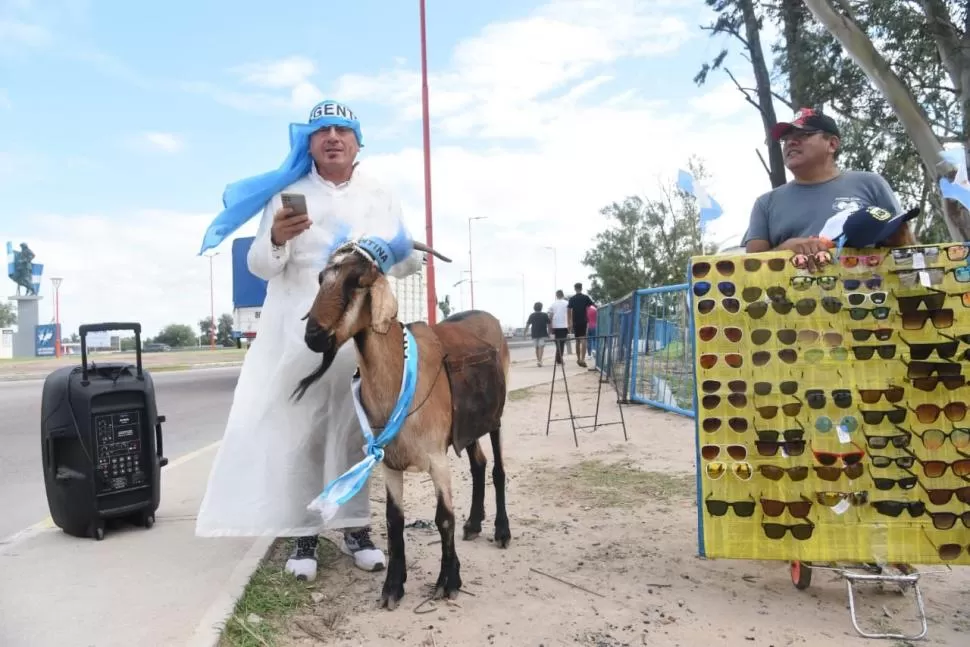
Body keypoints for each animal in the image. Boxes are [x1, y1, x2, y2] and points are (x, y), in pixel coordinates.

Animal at [294, 235, 516, 612]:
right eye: (321, 278)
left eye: (358, 281)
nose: (314, 336)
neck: (400, 375)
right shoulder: (389, 462)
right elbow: (394, 521)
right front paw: (393, 587)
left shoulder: (437, 459)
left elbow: (443, 518)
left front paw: (448, 582)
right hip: (467, 428)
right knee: (479, 463)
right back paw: (474, 523)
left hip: (495, 418)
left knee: (498, 468)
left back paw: (502, 531)